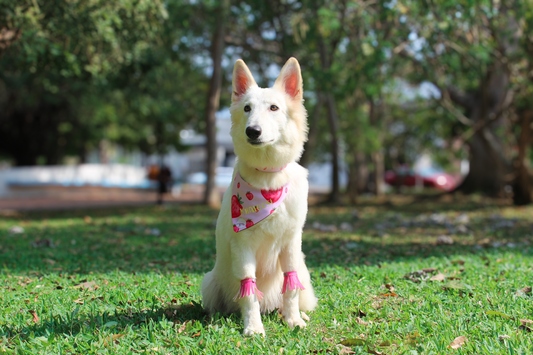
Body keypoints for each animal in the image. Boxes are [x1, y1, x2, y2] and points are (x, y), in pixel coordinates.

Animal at [200, 57, 316, 336]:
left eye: (274, 107)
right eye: (247, 108)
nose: (252, 131)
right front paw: (253, 327)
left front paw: (293, 320)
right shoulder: (243, 246)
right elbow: (249, 289)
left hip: (306, 275)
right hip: (209, 282)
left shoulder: (291, 243)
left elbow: (290, 287)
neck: (268, 180)